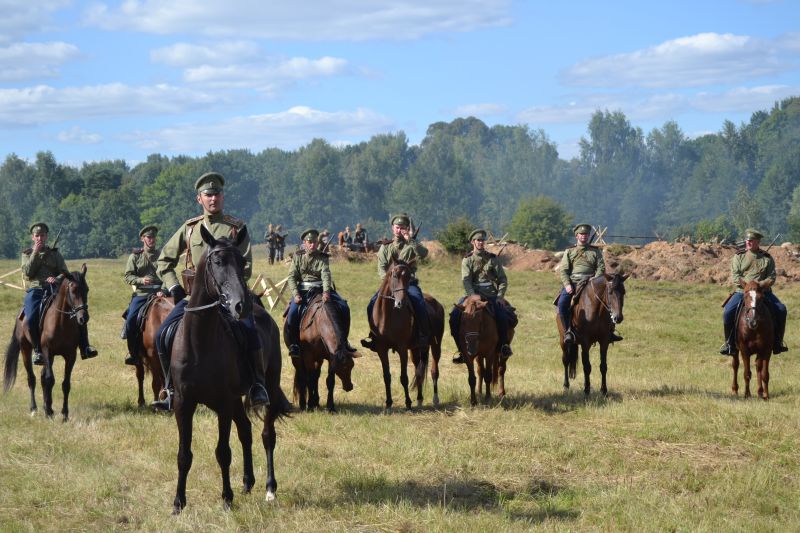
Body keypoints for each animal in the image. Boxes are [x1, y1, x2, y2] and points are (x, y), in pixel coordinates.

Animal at [4, 264, 90, 420]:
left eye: (86, 289)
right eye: (73, 290)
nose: (83, 318)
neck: (61, 323)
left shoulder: (70, 356)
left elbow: (65, 384)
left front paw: (64, 414)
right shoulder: (47, 352)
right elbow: (50, 379)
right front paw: (49, 412)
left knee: (42, 377)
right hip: (26, 350)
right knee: (32, 379)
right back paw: (34, 408)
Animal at [170, 225, 292, 516]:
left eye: (241, 262)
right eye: (217, 262)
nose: (240, 305)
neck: (200, 343)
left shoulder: (223, 403)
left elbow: (223, 452)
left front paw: (226, 498)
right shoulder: (183, 403)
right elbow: (184, 454)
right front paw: (178, 502)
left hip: (268, 389)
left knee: (267, 435)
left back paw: (270, 488)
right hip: (238, 399)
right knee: (245, 430)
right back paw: (247, 482)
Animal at [368, 260, 444, 410]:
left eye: (409, 277)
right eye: (394, 275)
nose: (400, 303)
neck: (386, 316)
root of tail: (437, 304)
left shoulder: (402, 348)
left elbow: (404, 377)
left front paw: (408, 402)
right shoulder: (381, 350)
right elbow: (387, 376)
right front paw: (388, 403)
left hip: (435, 345)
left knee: (434, 371)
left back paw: (435, 399)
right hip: (416, 348)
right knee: (418, 370)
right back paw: (419, 399)